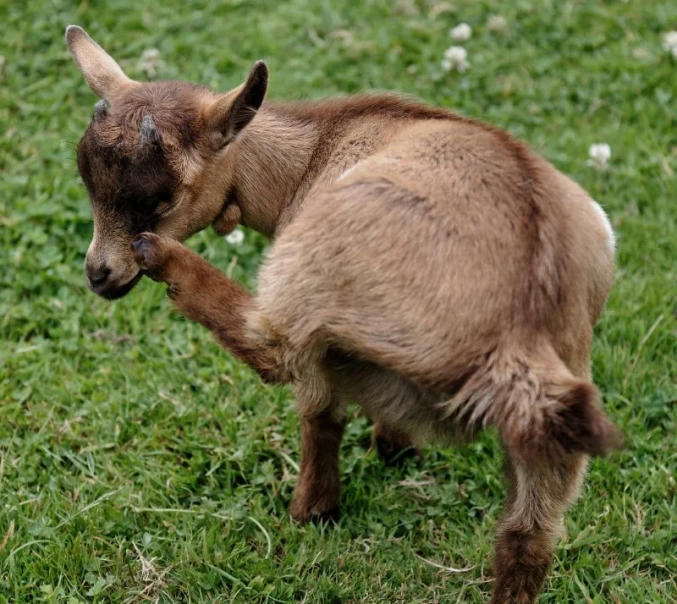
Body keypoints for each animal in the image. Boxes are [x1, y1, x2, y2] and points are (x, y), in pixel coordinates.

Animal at [66, 26, 620, 600]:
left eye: (159, 200)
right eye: (86, 178)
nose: (99, 274)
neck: (311, 155)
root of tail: (519, 322)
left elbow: (319, 412)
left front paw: (313, 512)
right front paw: (393, 447)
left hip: (310, 280)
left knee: (279, 356)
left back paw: (166, 260)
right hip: (558, 404)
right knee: (529, 536)